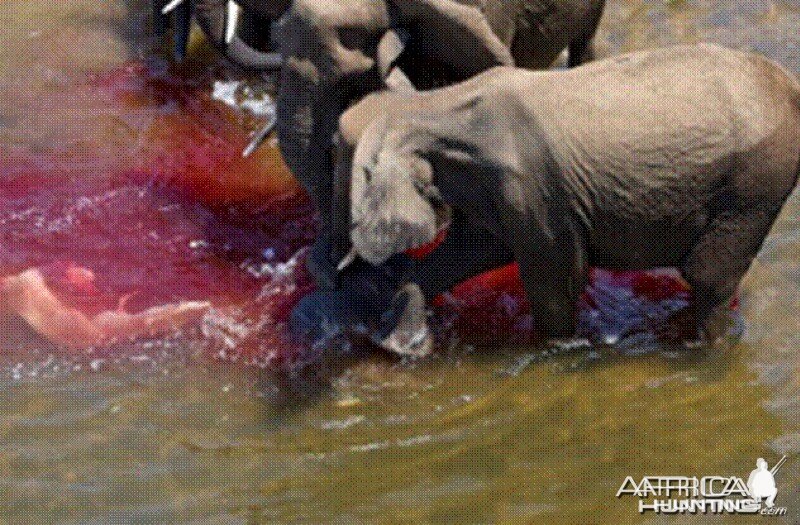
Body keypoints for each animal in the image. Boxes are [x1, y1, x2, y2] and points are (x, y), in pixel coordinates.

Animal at [292, 43, 800, 354]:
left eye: (335, 154)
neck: (431, 106)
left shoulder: (536, 193)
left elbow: (554, 284)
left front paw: (556, 351)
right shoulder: (497, 193)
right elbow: (466, 254)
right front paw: (401, 347)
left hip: (755, 184)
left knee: (709, 277)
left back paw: (706, 346)